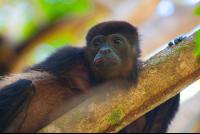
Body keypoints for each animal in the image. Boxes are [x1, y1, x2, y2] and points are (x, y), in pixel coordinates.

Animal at [0, 21, 180, 133]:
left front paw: (177, 42)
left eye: (117, 41)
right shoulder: (68, 56)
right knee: (24, 85)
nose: (104, 50)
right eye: (97, 43)